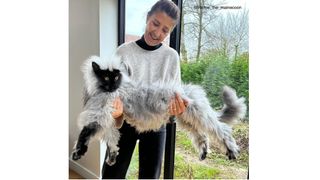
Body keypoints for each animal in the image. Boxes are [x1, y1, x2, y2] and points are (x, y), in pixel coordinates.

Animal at [72, 55, 246, 166]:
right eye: (106, 77)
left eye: (115, 77)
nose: (113, 85)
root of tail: (190, 90)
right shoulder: (111, 119)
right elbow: (112, 141)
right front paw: (112, 156)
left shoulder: (99, 114)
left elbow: (86, 133)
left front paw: (78, 151)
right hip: (187, 119)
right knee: (201, 135)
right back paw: (203, 152)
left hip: (200, 116)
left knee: (222, 130)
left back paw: (231, 150)